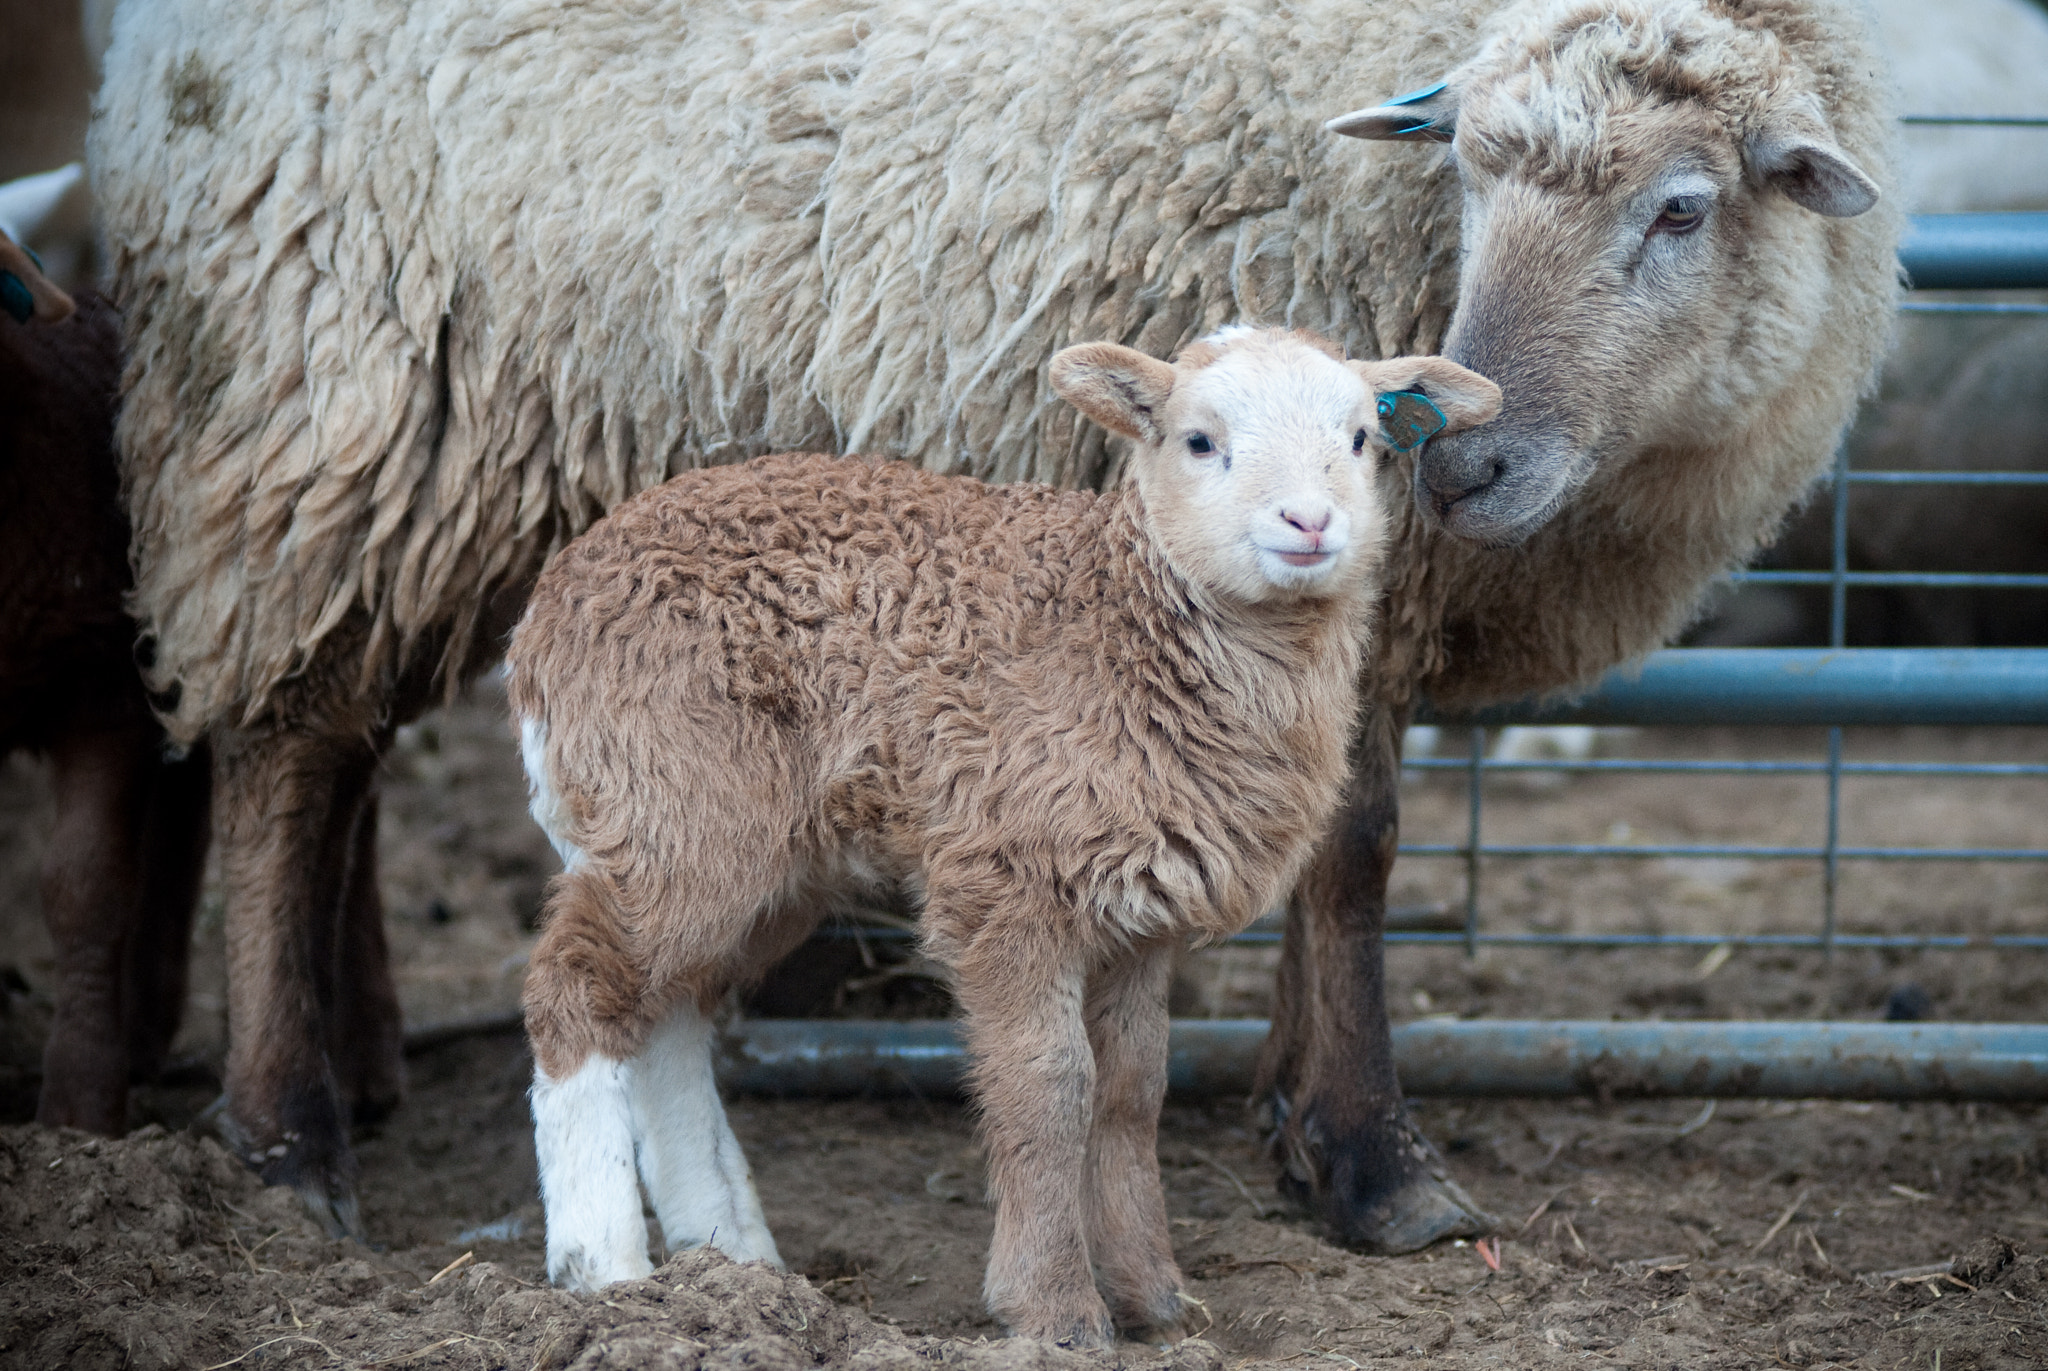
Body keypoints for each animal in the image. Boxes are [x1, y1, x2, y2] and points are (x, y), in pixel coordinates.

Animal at [507, 327, 1501, 1338]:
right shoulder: (1006, 880)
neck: (1120, 630)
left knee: (669, 1013)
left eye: (1360, 439)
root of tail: (545, 615)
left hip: (752, 853)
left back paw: (728, 1258)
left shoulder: (1142, 911)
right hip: (676, 798)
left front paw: (1153, 1294)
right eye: (1199, 441)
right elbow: (1049, 1087)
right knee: (576, 991)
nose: (1310, 522)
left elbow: (1132, 1091)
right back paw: (607, 1268)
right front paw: (1055, 1306)